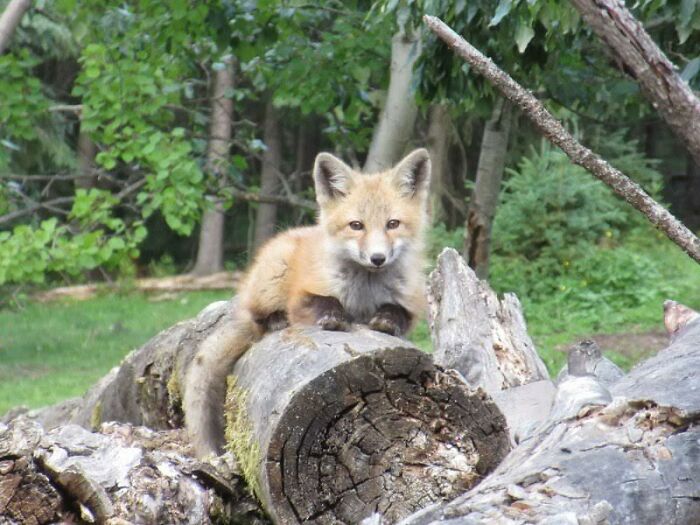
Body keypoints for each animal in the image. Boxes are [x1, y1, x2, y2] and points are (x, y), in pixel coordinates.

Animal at [183, 148, 431, 458]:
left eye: (393, 224)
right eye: (356, 226)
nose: (377, 258)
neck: (364, 292)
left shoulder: (411, 307)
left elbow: (397, 312)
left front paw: (385, 320)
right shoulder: (302, 297)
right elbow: (326, 301)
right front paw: (335, 317)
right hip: (273, 278)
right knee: (256, 317)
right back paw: (275, 320)